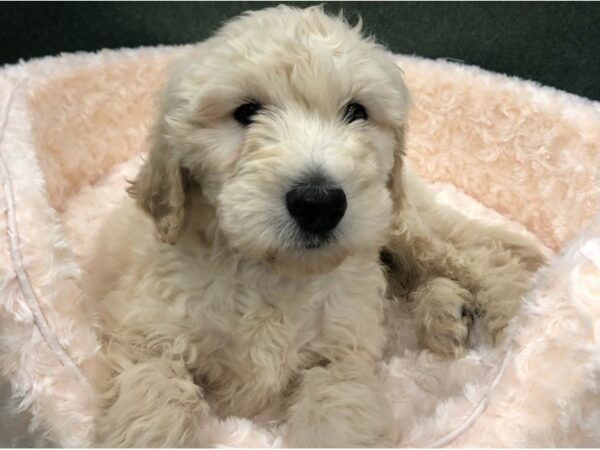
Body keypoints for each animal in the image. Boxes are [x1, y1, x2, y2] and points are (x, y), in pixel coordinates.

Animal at [88, 5, 544, 448]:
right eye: (246, 112)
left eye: (356, 112)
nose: (319, 203)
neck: (272, 273)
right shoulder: (147, 332)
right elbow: (151, 393)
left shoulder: (339, 357)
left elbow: (337, 413)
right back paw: (446, 312)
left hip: (398, 222)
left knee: (481, 258)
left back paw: (514, 317)